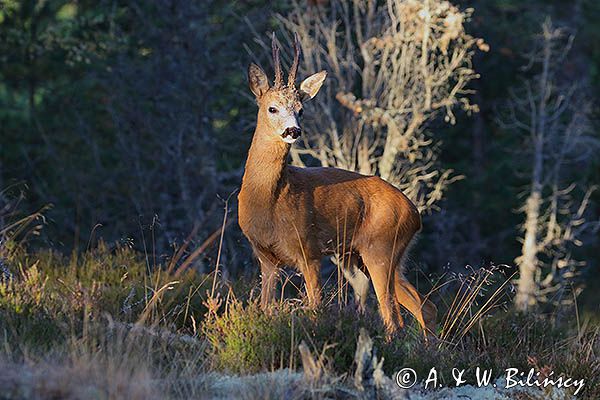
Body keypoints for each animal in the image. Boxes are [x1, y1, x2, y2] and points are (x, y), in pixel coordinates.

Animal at [238, 33, 436, 334]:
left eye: (301, 109)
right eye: (272, 108)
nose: (293, 130)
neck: (269, 200)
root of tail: (415, 213)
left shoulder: (309, 250)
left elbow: (316, 307)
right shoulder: (265, 257)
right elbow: (266, 309)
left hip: (381, 247)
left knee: (391, 313)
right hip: (367, 256)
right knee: (421, 304)